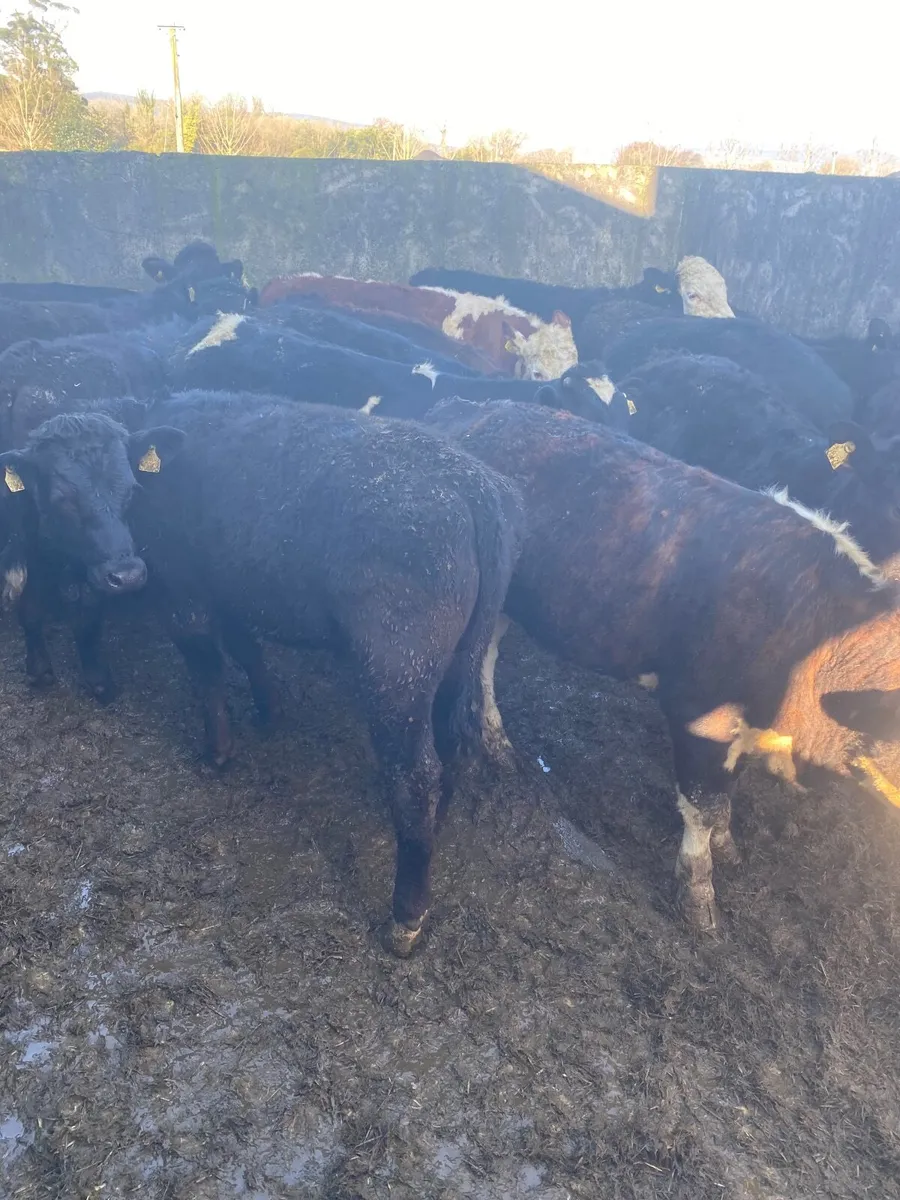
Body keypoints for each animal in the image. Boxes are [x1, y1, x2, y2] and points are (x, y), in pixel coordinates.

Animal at [19, 391, 524, 955]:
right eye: (62, 497)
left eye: (128, 488)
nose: (125, 574)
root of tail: (474, 485)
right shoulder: (232, 588)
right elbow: (246, 647)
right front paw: (268, 708)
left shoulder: (183, 592)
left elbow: (208, 668)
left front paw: (217, 750)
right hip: (460, 655)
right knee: (450, 747)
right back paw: (438, 825)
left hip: (397, 667)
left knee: (416, 776)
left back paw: (406, 917)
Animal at [422, 398, 900, 931]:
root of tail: (466, 405)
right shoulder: (701, 713)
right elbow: (703, 804)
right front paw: (698, 895)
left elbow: (727, 793)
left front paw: (728, 847)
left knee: (487, 656)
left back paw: (498, 745)